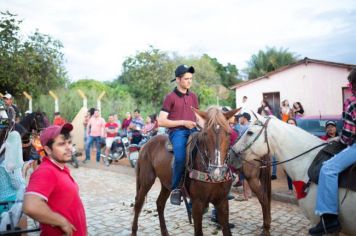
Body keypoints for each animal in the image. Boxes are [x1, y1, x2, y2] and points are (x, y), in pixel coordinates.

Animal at [131, 107, 239, 236]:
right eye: (205, 134)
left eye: (228, 133)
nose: (217, 172)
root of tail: (146, 144)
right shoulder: (197, 204)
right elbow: (198, 232)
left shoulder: (222, 202)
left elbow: (227, 230)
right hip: (146, 180)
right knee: (138, 203)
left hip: (166, 184)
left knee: (160, 204)